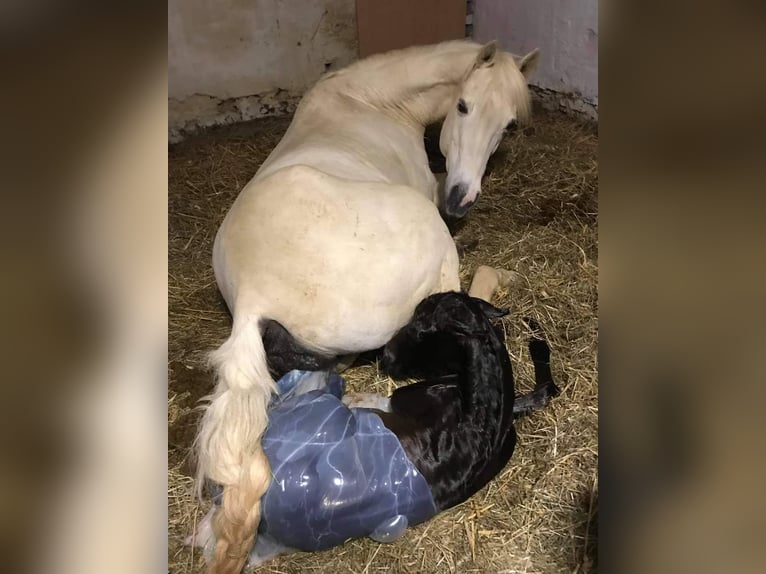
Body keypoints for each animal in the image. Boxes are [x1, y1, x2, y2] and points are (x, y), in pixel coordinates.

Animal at [195, 40, 536, 574]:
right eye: (463, 106)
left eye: (506, 126)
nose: (462, 201)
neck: (370, 100)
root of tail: (252, 296)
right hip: (433, 242)